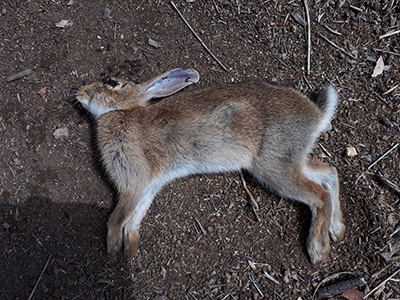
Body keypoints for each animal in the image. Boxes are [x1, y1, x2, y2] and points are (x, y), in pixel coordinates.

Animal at [77, 68, 344, 264]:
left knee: (319, 196)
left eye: (111, 82)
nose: (81, 92)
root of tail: (317, 116)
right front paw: (129, 251)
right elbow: (134, 218)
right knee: (329, 173)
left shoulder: (133, 181)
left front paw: (113, 249)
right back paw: (337, 229)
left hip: (274, 166)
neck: (121, 111)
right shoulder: (148, 185)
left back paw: (319, 251)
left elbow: (118, 216)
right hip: (288, 160)